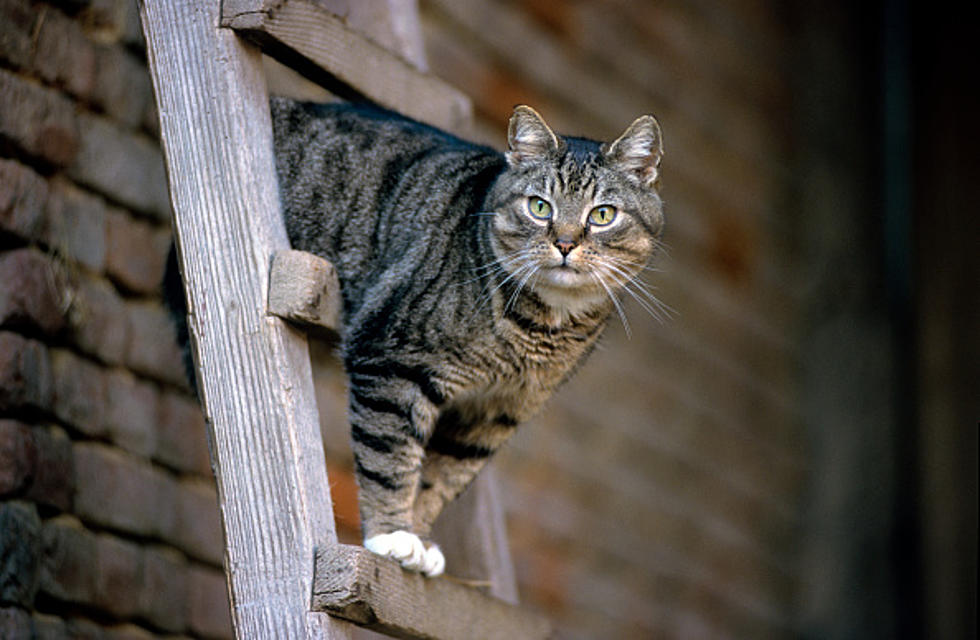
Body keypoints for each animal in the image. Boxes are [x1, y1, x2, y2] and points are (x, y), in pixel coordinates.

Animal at [172, 96, 668, 580]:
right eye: (540, 206)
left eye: (602, 215)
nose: (564, 243)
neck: (541, 329)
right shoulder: (388, 362)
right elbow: (390, 459)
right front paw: (392, 536)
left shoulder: (492, 415)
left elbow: (438, 480)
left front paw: (420, 536)